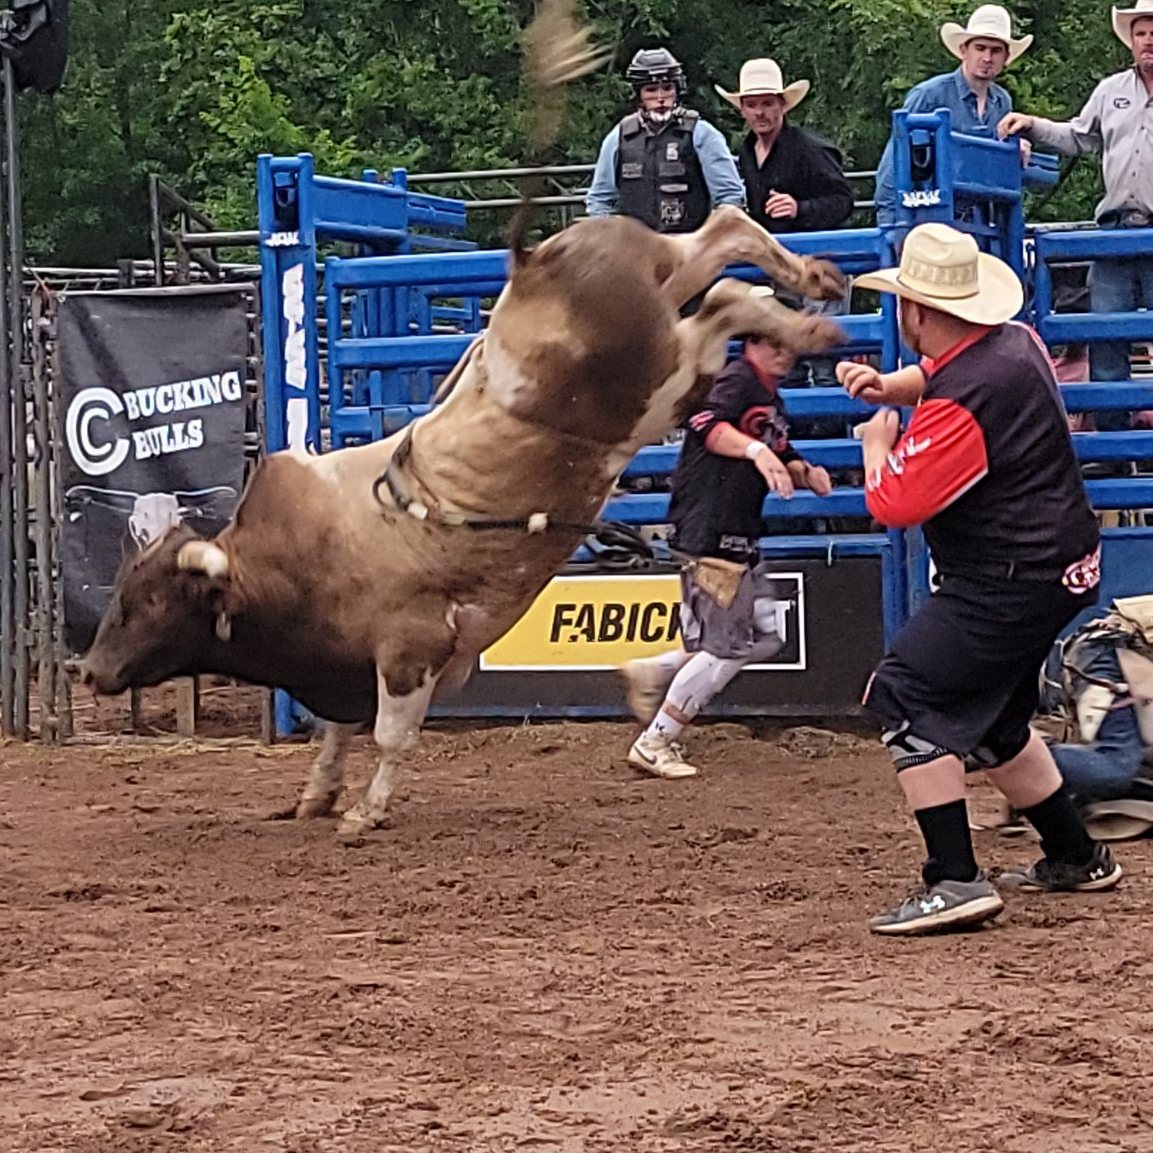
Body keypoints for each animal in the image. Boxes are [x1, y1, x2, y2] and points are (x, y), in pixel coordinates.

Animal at [80, 0, 847, 838]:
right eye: (120, 591)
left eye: (147, 601)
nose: (90, 671)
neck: (288, 560)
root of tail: (530, 265)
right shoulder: (342, 668)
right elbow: (336, 728)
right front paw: (319, 792)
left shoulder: (409, 647)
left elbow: (390, 732)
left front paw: (366, 811)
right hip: (665, 315)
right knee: (724, 258)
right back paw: (812, 291)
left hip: (658, 367)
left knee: (729, 268)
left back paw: (809, 301)